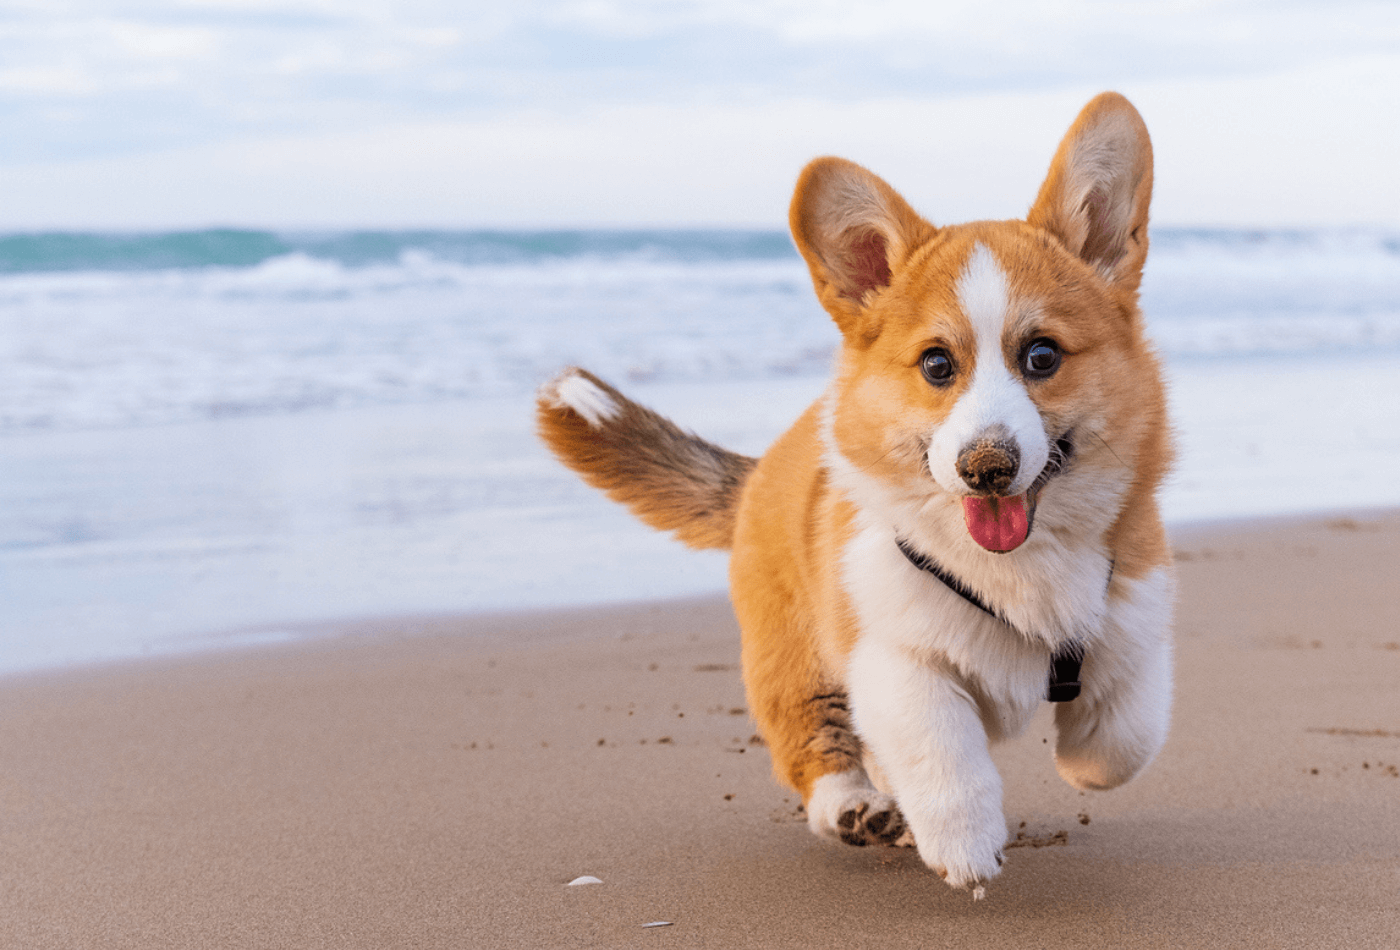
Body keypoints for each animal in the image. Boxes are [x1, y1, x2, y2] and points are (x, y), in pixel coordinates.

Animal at [534, 93, 1170, 895]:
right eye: (937, 365)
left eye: (1043, 356)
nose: (987, 467)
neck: (1013, 567)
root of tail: (761, 468)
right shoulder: (893, 654)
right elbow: (941, 751)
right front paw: (965, 846)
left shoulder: (1135, 611)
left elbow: (1123, 737)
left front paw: (1083, 758)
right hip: (794, 656)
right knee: (818, 744)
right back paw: (854, 807)